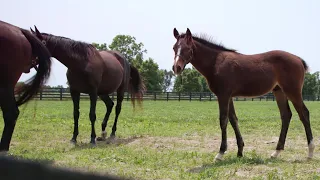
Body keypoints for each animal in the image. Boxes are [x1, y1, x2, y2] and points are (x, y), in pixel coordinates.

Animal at [172, 27, 316, 160]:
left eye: (187, 48)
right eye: (174, 47)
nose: (176, 68)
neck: (216, 62)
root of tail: (298, 59)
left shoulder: (223, 95)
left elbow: (223, 120)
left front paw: (220, 152)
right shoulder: (228, 96)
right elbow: (233, 119)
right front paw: (240, 151)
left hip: (293, 91)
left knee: (304, 114)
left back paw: (310, 152)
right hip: (279, 91)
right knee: (286, 115)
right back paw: (276, 152)